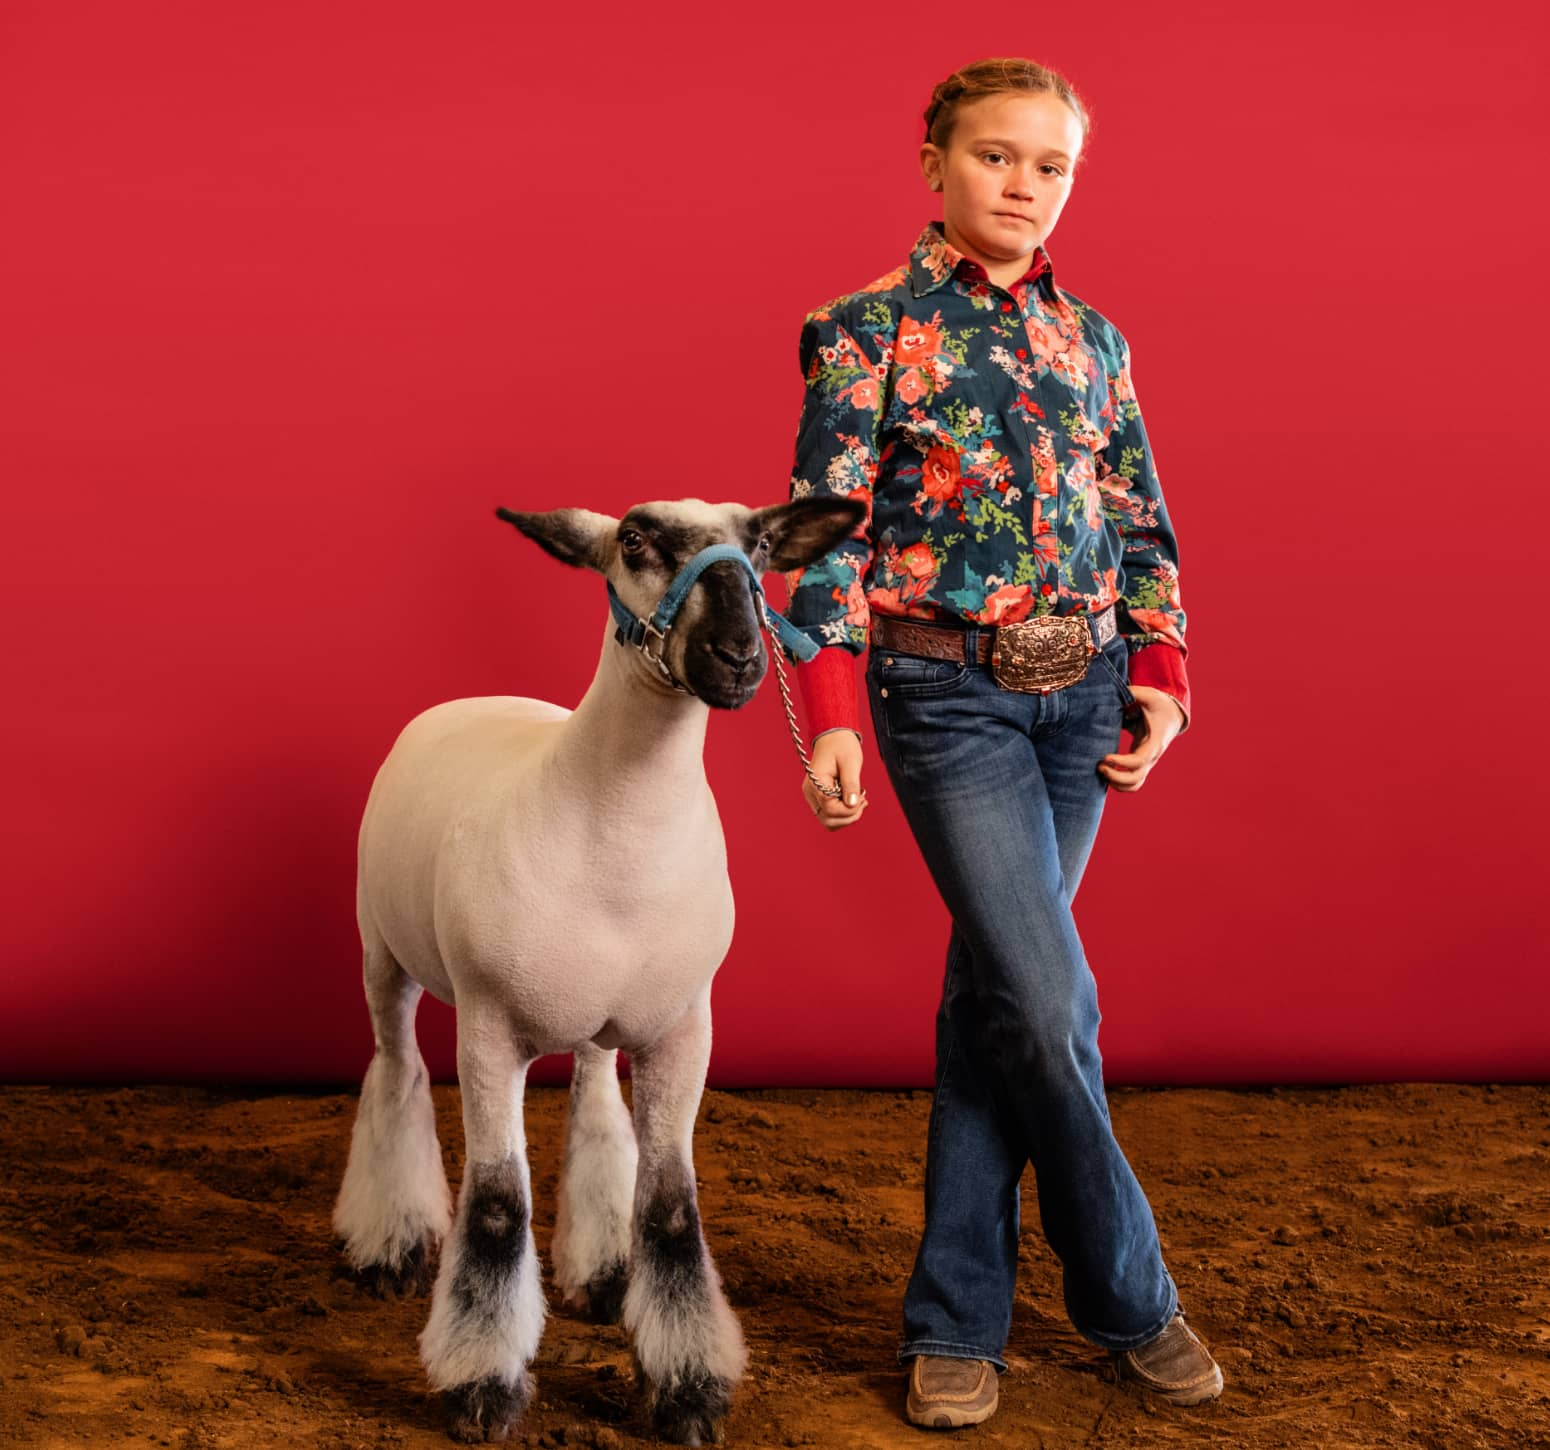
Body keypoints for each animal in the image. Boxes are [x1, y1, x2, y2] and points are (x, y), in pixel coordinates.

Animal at [334, 496, 868, 1439]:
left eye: (761, 544)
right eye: (635, 540)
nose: (739, 655)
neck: (615, 827)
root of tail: (474, 699)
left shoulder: (684, 1028)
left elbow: (669, 1206)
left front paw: (687, 1387)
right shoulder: (489, 1032)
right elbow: (498, 1206)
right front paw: (482, 1387)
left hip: (595, 1015)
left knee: (591, 1097)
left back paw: (604, 1271)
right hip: (382, 952)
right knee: (396, 1070)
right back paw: (388, 1246)